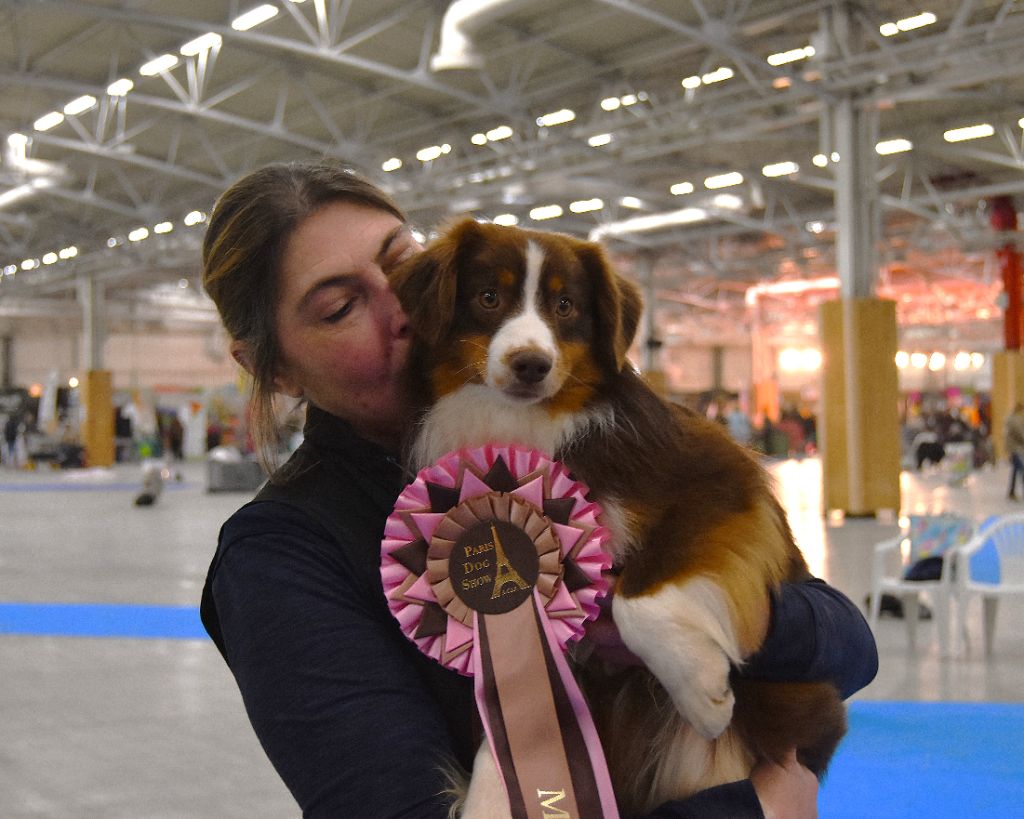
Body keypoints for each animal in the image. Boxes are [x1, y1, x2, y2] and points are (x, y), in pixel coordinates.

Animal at [387, 219, 843, 818]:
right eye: (488, 297)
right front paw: (492, 797)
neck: (526, 425)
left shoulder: (720, 481)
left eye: (565, 306)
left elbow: (638, 599)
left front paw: (702, 691)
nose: (531, 364)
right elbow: (508, 719)